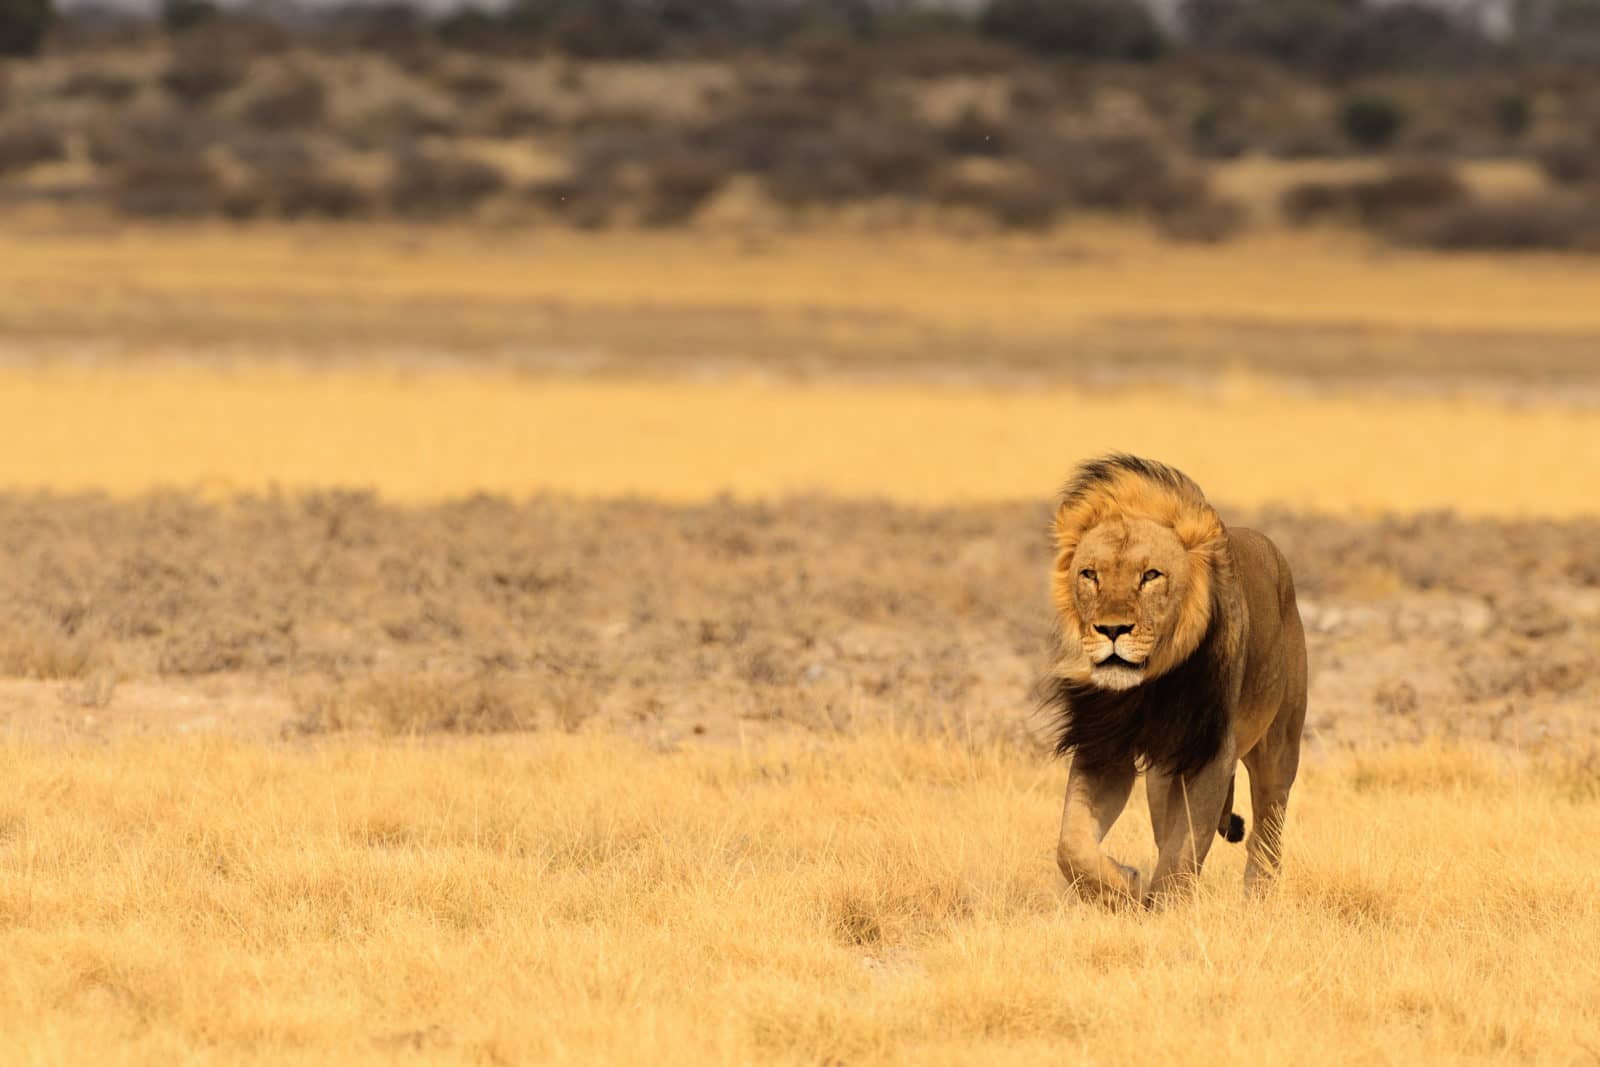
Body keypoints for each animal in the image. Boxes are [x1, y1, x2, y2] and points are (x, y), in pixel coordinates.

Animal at [1045, 454, 1306, 905]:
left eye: (1151, 575)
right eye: (1090, 575)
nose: (1112, 629)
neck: (1148, 687)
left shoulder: (1211, 750)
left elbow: (1183, 850)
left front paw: (1165, 906)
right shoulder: (1105, 745)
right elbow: (1072, 844)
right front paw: (1125, 886)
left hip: (1280, 743)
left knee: (1269, 823)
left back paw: (1259, 894)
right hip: (1161, 773)